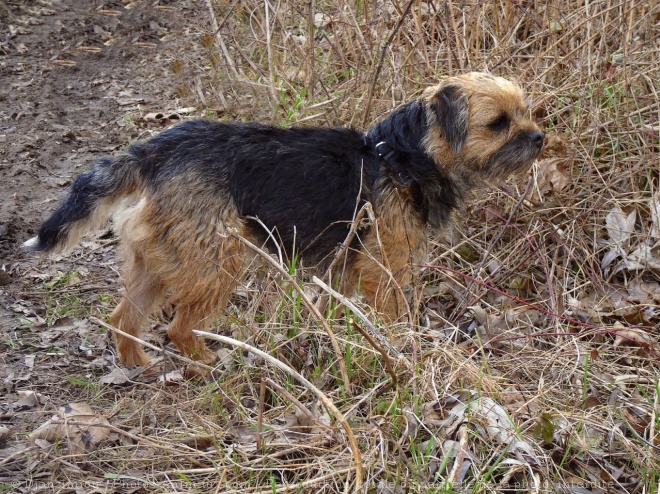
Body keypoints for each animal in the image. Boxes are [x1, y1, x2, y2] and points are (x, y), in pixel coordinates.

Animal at [23, 72, 544, 366]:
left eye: (525, 112)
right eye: (499, 123)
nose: (540, 137)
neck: (405, 156)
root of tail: (155, 151)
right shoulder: (386, 268)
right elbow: (395, 315)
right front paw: (404, 347)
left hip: (159, 259)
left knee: (123, 318)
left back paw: (140, 365)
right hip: (216, 261)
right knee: (179, 328)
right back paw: (207, 365)